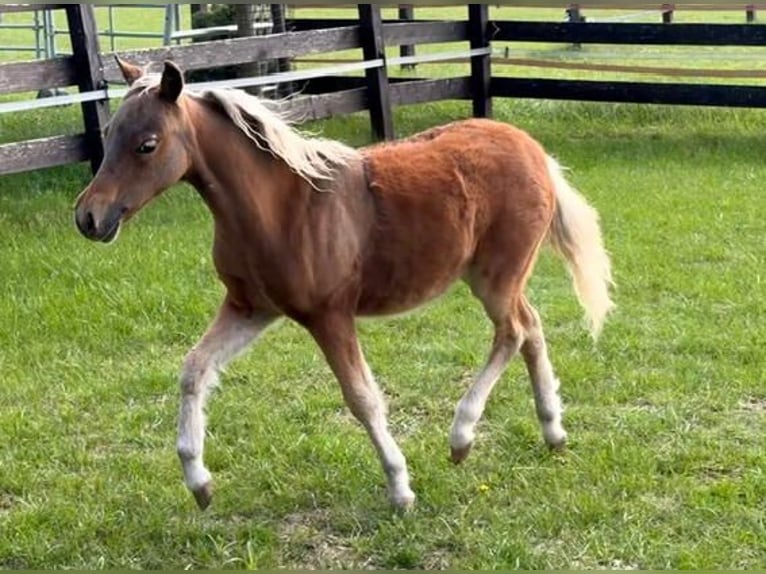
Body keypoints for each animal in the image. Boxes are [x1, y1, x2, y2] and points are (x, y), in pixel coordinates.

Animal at [74, 58, 614, 511]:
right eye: (110, 133)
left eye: (147, 144)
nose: (88, 217)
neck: (281, 208)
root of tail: (534, 149)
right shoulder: (250, 307)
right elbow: (193, 370)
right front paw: (199, 483)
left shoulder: (329, 315)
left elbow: (362, 398)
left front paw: (400, 489)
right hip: (496, 277)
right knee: (532, 327)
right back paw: (552, 432)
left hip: (496, 275)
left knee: (514, 330)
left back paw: (461, 438)